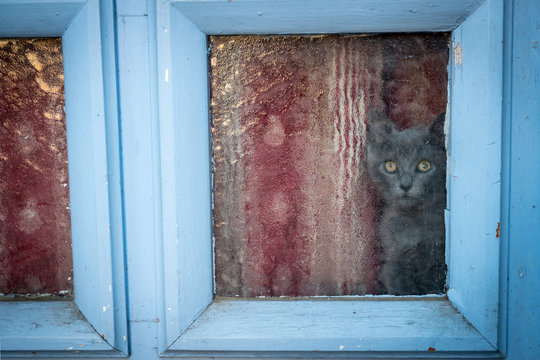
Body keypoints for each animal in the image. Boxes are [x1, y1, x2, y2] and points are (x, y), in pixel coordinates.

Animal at [368, 109, 448, 296]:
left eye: (424, 165)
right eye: (390, 166)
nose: (405, 185)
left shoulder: (438, 259)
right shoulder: (393, 255)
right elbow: (393, 273)